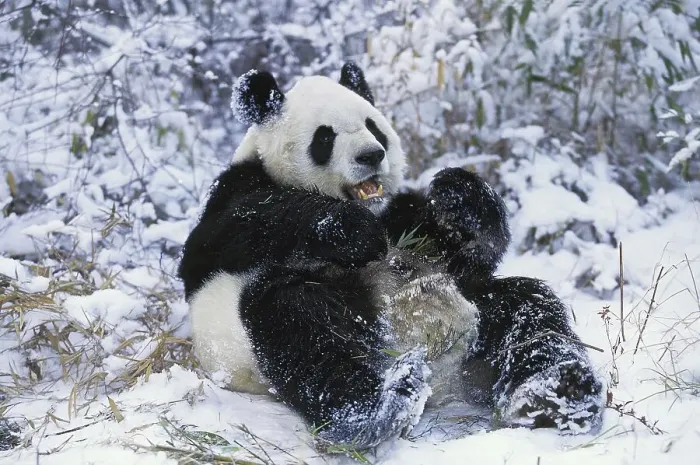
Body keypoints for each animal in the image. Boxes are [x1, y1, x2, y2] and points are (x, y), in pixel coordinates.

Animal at [178, 62, 603, 449]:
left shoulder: (401, 217)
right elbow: (237, 227)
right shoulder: (231, 197)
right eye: (324, 137)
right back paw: (381, 408)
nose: (371, 155)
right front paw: (349, 230)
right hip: (253, 334)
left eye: (373, 126)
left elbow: (465, 252)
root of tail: (440, 373)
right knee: (305, 329)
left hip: (482, 312)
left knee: (530, 309)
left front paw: (458, 196)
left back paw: (557, 394)